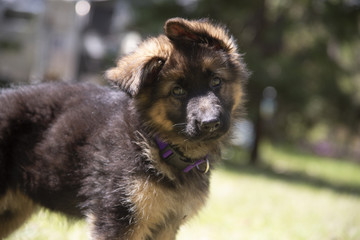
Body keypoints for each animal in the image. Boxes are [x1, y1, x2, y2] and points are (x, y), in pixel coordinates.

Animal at [0, 17, 249, 239]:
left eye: (216, 81)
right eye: (177, 91)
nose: (210, 123)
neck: (156, 144)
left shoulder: (165, 225)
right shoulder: (118, 218)